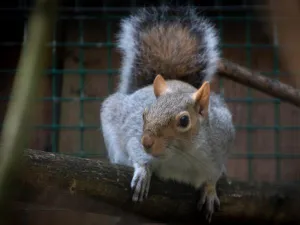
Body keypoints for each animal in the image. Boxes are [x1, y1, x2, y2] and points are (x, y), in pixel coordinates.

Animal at [99, 5, 236, 223]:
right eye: (144, 114)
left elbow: (211, 177)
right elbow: (134, 147)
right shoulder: (135, 135)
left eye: (184, 120)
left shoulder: (220, 146)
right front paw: (143, 172)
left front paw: (210, 191)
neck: (181, 156)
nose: (146, 141)